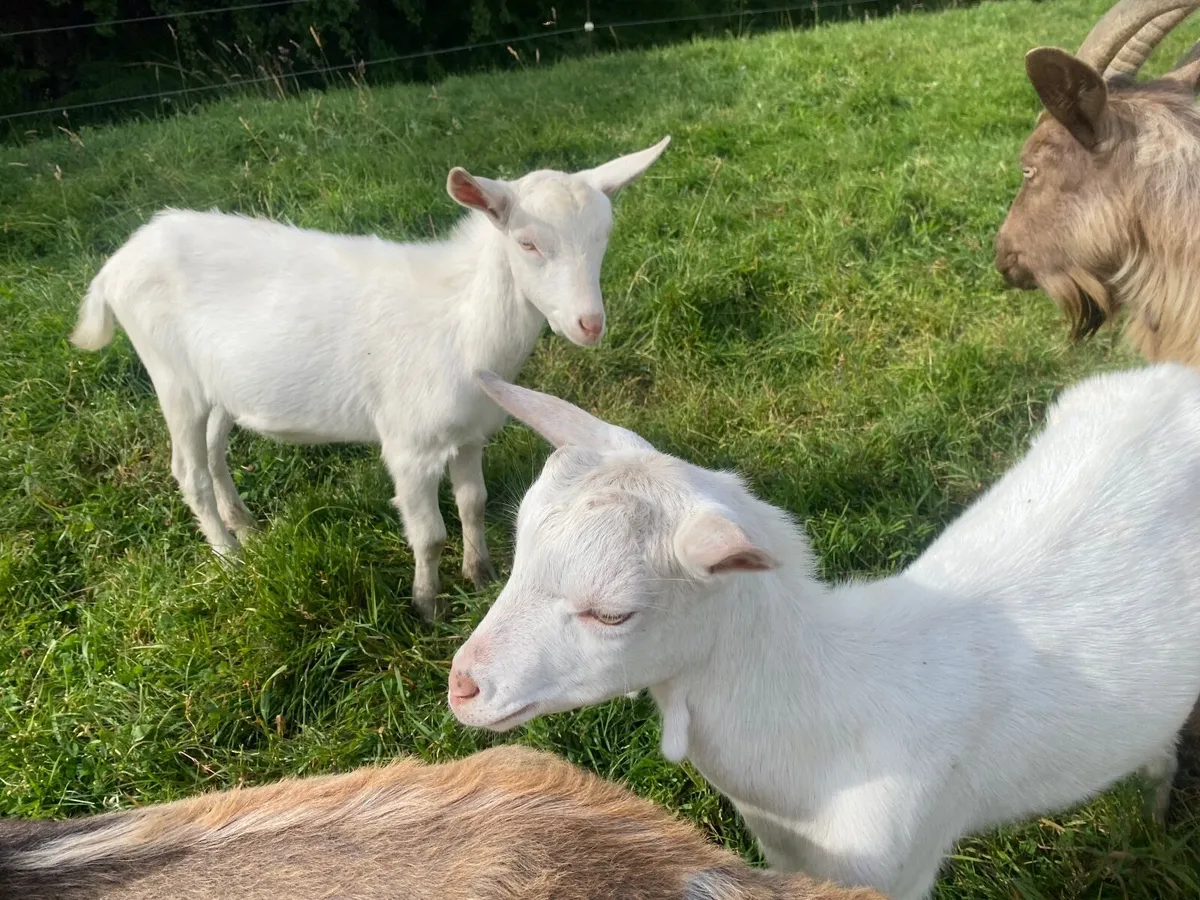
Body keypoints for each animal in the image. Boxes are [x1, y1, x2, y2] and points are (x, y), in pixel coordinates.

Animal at [69, 138, 669, 619]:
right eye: (527, 243)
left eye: (604, 237)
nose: (589, 324)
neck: (460, 321)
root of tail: (115, 264)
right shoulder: (410, 442)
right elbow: (428, 534)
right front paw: (427, 606)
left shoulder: (469, 432)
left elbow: (473, 504)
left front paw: (480, 574)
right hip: (172, 375)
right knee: (188, 470)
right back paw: (229, 557)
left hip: (216, 384)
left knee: (215, 453)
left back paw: (246, 527)